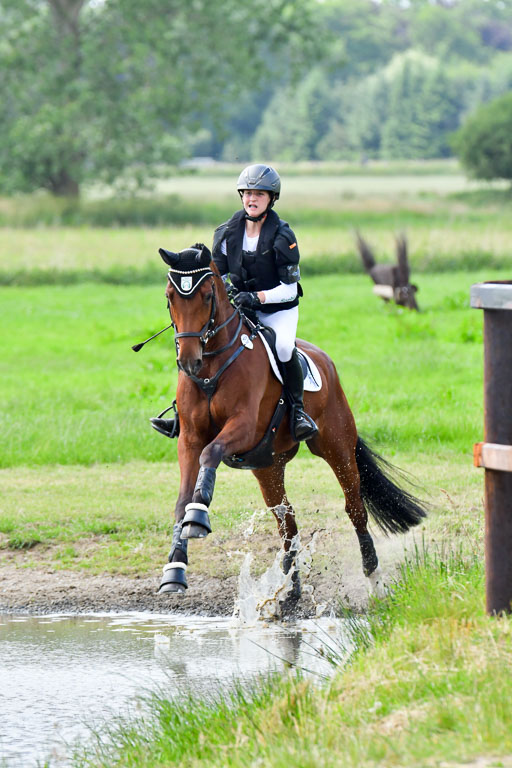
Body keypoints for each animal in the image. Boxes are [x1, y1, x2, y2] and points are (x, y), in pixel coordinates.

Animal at [152, 242, 427, 606]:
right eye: (170, 296)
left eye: (208, 296)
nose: (189, 361)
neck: (212, 367)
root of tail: (324, 360)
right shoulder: (190, 438)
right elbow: (182, 500)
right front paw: (174, 570)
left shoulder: (242, 427)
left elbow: (211, 454)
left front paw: (198, 518)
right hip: (268, 466)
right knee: (288, 523)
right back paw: (290, 588)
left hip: (336, 446)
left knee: (355, 508)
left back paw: (374, 580)